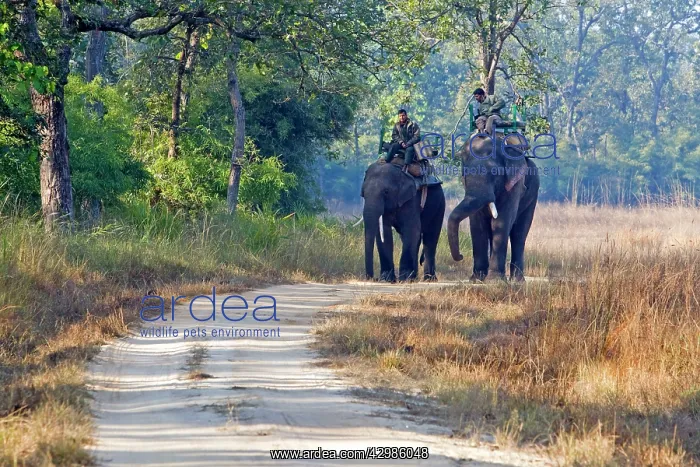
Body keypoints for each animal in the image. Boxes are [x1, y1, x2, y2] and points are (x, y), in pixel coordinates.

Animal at [447, 133, 539, 281]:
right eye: (464, 174)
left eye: (495, 174)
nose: (460, 256)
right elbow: (477, 224)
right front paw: (477, 279)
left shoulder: (515, 185)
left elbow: (501, 221)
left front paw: (495, 280)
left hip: (533, 194)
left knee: (519, 234)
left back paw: (517, 281)